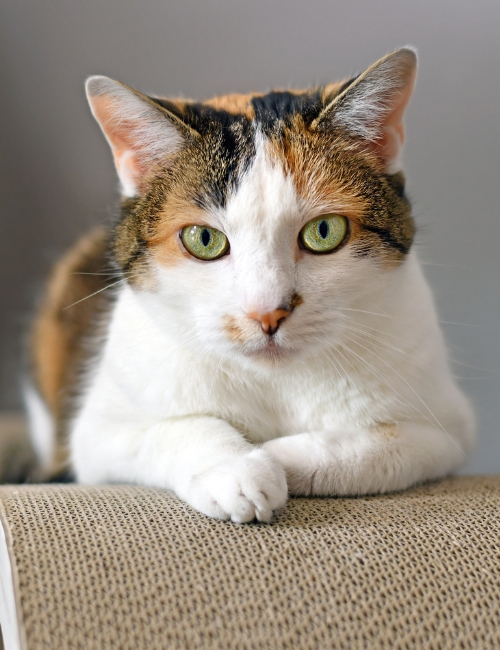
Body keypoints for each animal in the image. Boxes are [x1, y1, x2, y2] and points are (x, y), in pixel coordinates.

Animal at [26, 46, 472, 520]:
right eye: (204, 239)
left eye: (324, 232)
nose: (267, 312)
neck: (274, 384)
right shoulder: (96, 437)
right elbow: (179, 427)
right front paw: (237, 468)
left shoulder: (447, 431)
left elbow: (371, 444)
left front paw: (274, 457)